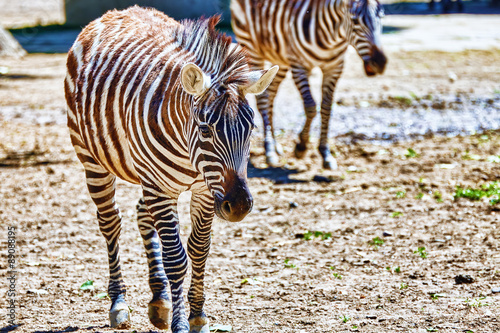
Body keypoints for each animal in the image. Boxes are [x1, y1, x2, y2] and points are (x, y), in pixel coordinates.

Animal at [64, 6, 278, 330]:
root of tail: (115, 12)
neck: (190, 157)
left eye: (251, 129)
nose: (239, 206)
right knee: (110, 223)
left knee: (141, 214)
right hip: (93, 159)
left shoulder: (204, 190)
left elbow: (199, 250)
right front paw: (180, 324)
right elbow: (176, 257)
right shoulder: (161, 187)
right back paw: (118, 303)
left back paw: (159, 299)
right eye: (205, 130)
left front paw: (198, 317)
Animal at [230, 0, 386, 167]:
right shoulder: (299, 66)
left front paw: (325, 152)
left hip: (280, 60)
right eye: (355, 20)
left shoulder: (335, 68)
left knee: (271, 94)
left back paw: (276, 145)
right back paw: (269, 148)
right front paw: (301, 146)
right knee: (263, 99)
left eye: (381, 17)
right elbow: (310, 106)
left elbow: (326, 108)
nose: (380, 63)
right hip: (252, 49)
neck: (332, 39)